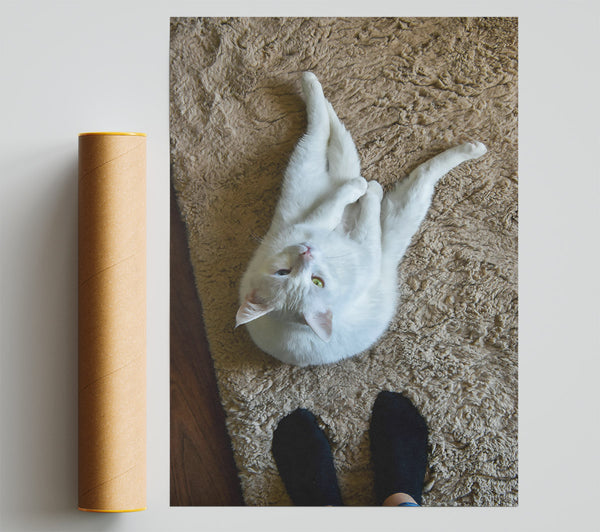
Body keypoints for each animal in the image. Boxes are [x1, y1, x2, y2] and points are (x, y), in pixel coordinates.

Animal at [236, 72, 488, 366]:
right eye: (285, 274)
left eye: (316, 281)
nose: (306, 252)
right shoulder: (340, 232)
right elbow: (357, 207)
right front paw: (367, 190)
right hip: (337, 189)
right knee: (325, 136)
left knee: (336, 137)